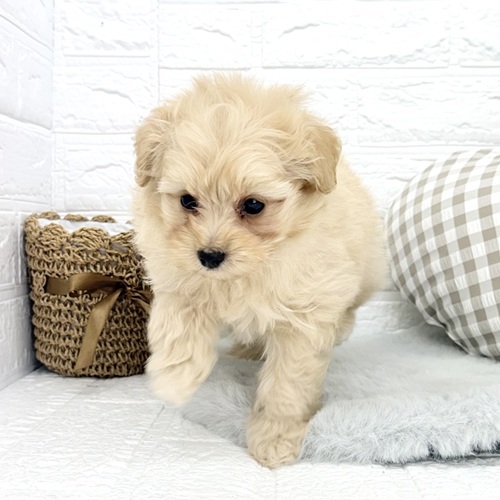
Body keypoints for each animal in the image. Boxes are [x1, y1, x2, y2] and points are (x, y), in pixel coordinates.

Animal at [132, 74, 386, 468]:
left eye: (253, 205)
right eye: (187, 200)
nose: (210, 256)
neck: (252, 266)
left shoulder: (305, 315)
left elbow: (287, 384)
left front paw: (275, 438)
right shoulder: (178, 280)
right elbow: (179, 328)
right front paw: (175, 378)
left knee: (349, 308)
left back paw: (340, 329)